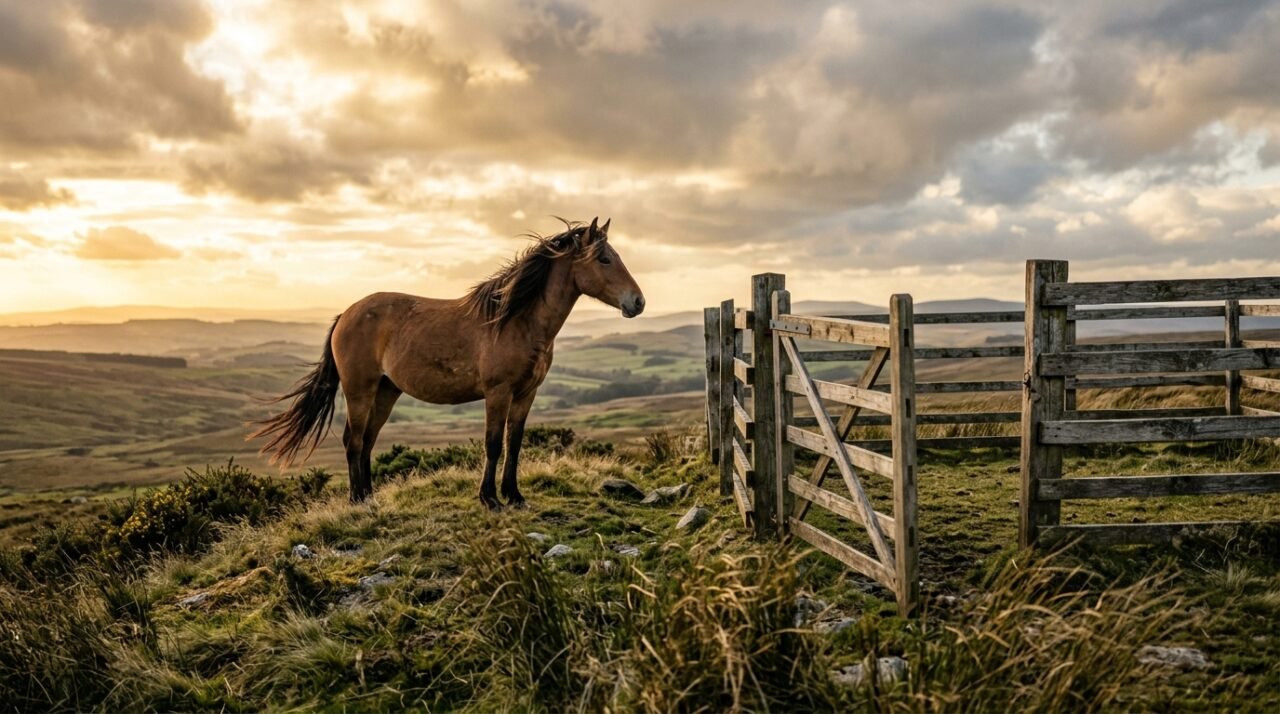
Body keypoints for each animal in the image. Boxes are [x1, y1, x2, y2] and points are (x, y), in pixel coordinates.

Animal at [250, 217, 645, 506]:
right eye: (604, 259)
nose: (638, 302)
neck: (515, 320)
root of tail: (346, 314)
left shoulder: (525, 394)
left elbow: (514, 443)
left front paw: (514, 495)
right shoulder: (498, 393)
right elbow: (493, 443)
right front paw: (489, 499)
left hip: (386, 391)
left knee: (368, 441)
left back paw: (371, 495)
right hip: (359, 390)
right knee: (354, 440)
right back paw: (358, 500)